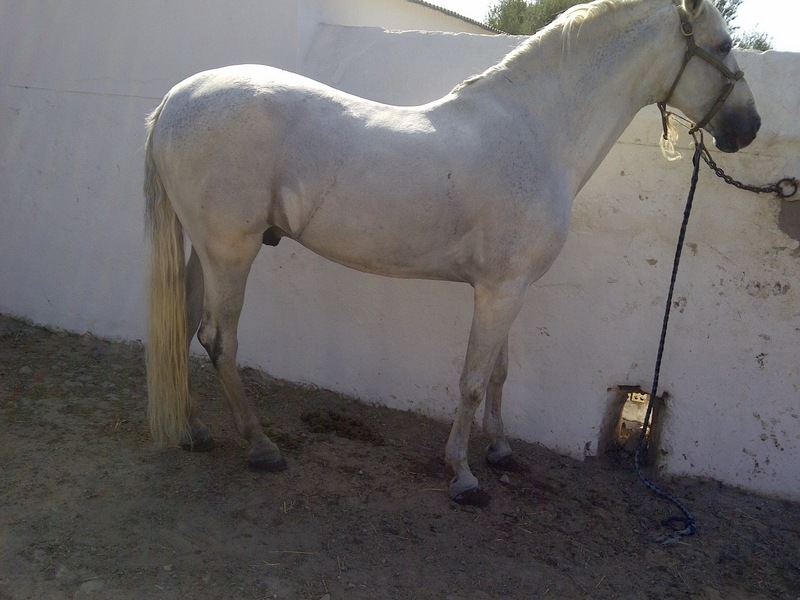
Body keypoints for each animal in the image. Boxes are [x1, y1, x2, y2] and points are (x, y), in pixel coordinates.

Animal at [144, 0, 760, 505]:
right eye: (723, 45)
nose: (750, 127)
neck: (538, 132)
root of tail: (175, 99)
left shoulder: (510, 289)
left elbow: (499, 373)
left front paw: (501, 451)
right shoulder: (498, 292)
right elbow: (471, 379)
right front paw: (463, 476)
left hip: (205, 251)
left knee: (186, 329)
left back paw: (194, 431)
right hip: (232, 253)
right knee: (220, 341)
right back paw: (261, 446)